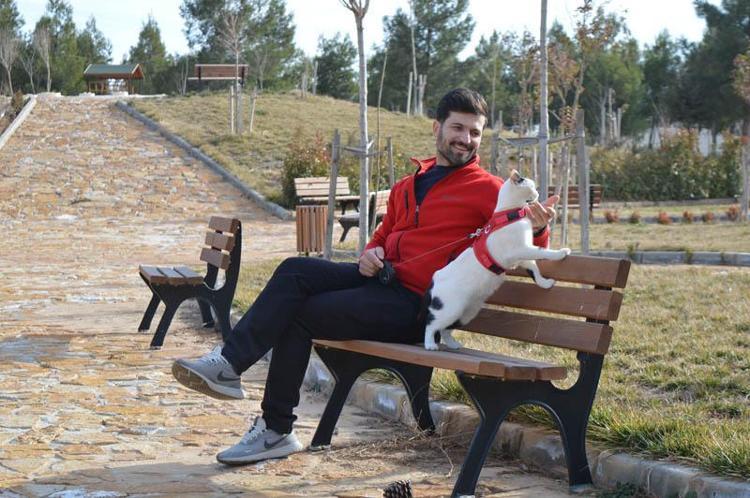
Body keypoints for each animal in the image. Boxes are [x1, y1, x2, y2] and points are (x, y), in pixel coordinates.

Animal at [423, 170, 571, 351]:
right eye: (532, 185)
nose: (537, 193)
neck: (509, 213)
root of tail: (435, 279)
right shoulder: (521, 249)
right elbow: (543, 252)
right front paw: (561, 253)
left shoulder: (523, 256)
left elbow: (534, 270)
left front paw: (545, 283)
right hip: (449, 310)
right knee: (431, 325)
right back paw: (430, 344)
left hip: (466, 313)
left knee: (445, 330)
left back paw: (453, 344)